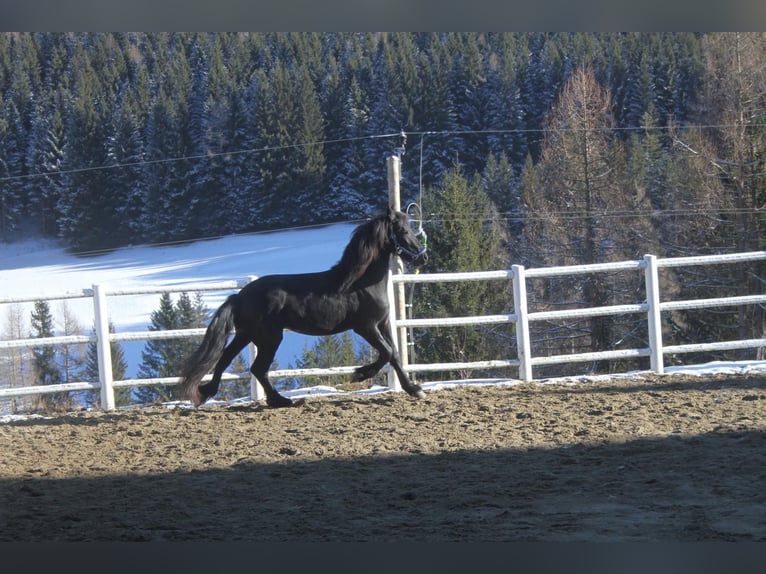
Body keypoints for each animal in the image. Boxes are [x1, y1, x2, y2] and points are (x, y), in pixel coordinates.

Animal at [182, 208, 428, 410]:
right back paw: (280, 401)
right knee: (257, 368)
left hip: (246, 334)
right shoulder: (365, 327)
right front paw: (359, 374)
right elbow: (386, 352)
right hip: (269, 338)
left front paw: (414, 390)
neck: (360, 285)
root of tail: (239, 296)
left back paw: (207, 393)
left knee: (225, 359)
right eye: (403, 230)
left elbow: (394, 354)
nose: (423, 257)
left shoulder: (383, 324)